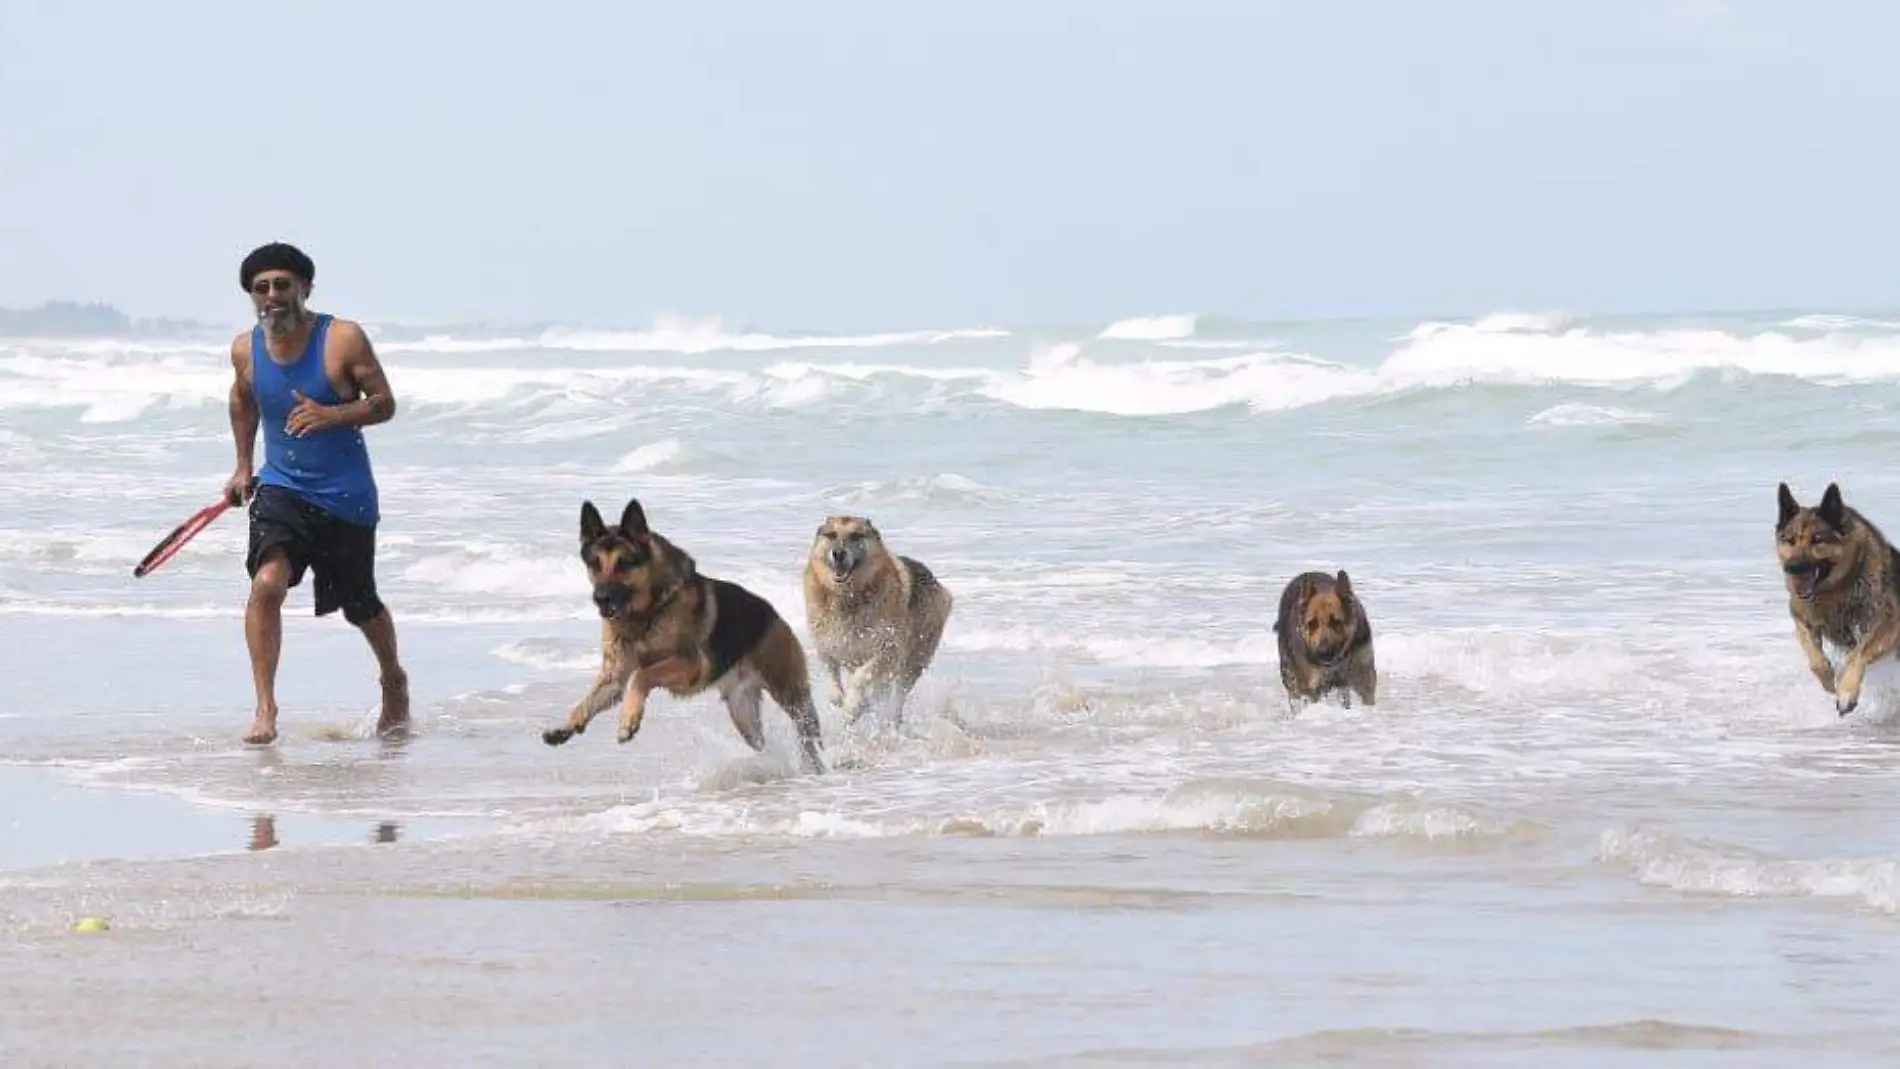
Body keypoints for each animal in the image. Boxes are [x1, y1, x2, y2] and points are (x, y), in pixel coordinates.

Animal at [798, 516, 950, 729]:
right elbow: (832, 675)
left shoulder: (887, 650)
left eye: (856, 536)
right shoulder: (825, 645)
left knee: (898, 695)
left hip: (915, 659)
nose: (838, 554)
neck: (847, 597)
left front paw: (852, 706)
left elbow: (860, 678)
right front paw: (841, 699)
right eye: (831, 535)